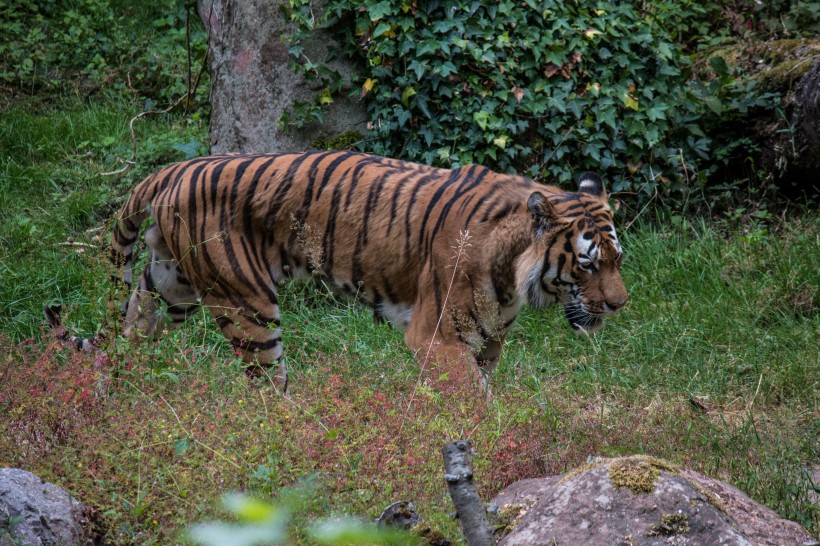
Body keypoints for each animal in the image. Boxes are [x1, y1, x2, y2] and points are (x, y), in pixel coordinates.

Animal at [48, 150, 628, 392]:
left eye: (618, 260)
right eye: (587, 263)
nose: (620, 304)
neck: (516, 275)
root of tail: (171, 169)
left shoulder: (485, 343)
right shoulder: (438, 337)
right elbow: (475, 403)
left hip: (171, 288)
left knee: (125, 338)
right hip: (247, 305)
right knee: (267, 389)